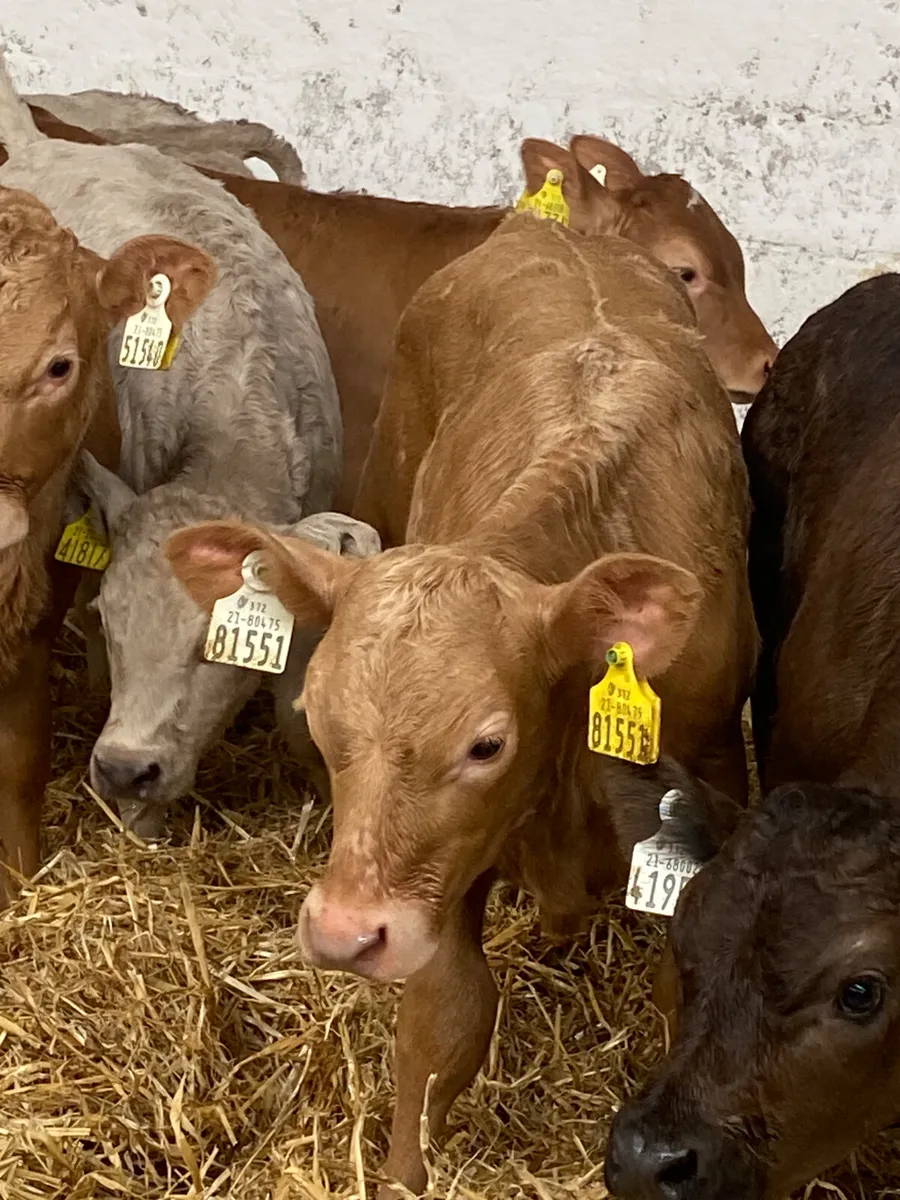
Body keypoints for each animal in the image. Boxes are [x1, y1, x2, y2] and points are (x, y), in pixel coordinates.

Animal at [164, 211, 758, 1195]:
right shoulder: (441, 881)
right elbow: (444, 1022)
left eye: (486, 744)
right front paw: (405, 1170)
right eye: (320, 719)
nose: (343, 933)